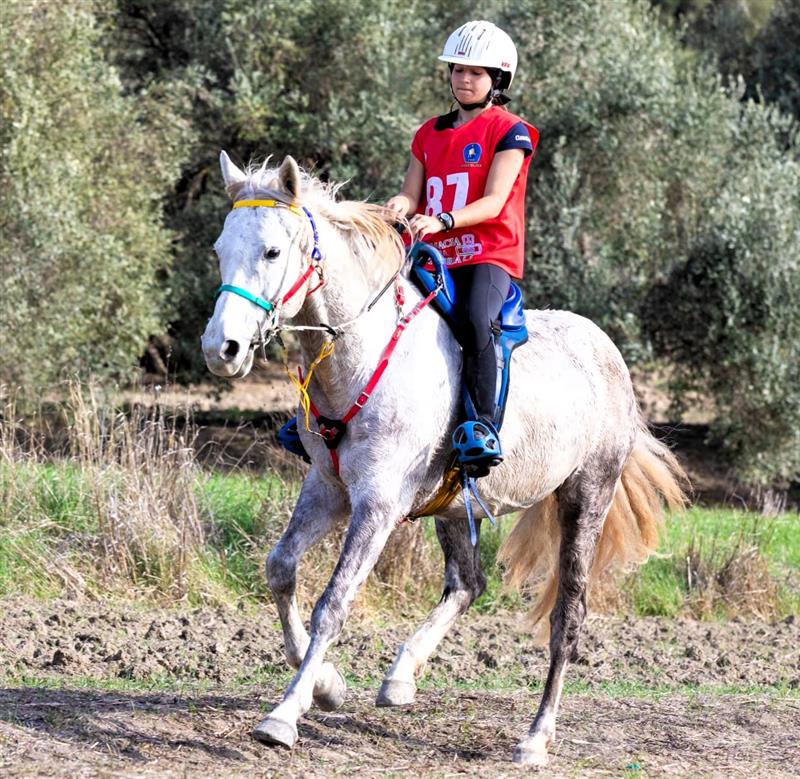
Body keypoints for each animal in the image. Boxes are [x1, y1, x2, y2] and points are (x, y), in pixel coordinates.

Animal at [203, 152, 684, 768]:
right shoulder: (327, 489)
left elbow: (333, 602)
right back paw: (400, 677)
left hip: (586, 498)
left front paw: (284, 714)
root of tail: (608, 353)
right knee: (468, 583)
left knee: (566, 618)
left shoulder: (378, 506)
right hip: (455, 503)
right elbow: (280, 569)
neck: (360, 358)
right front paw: (328, 686)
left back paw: (535, 738)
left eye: (271, 252)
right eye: (220, 249)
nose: (222, 350)